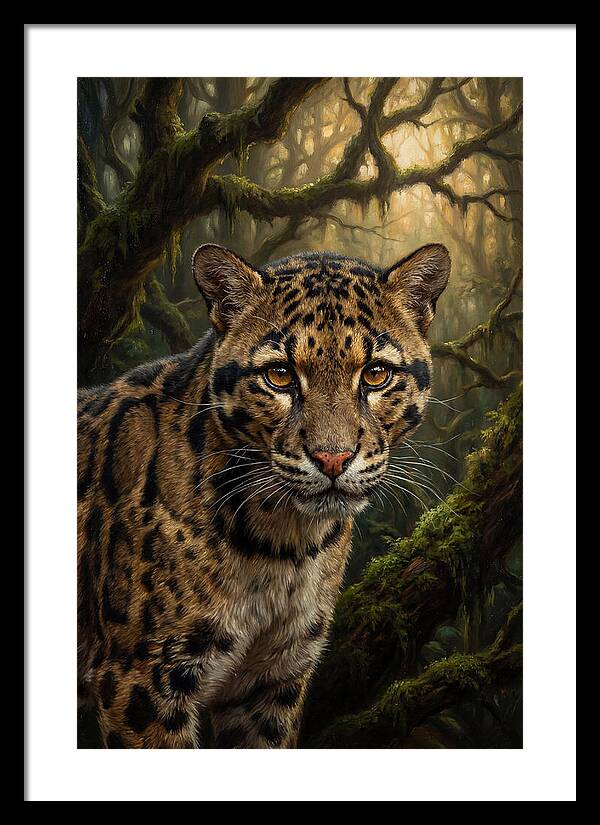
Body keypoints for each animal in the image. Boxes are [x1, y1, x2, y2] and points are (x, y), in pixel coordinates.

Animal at [77, 242, 450, 748]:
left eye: (375, 375)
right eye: (279, 376)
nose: (333, 458)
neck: (283, 543)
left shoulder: (274, 678)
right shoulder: (140, 678)